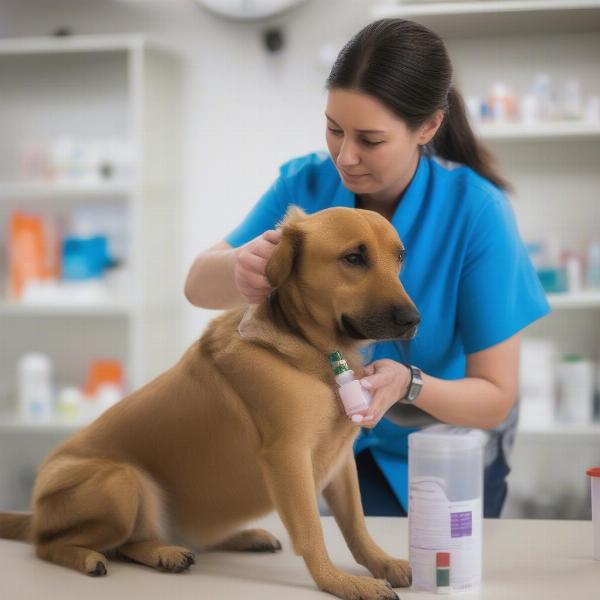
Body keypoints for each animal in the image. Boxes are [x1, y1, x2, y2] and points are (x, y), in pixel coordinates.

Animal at [0, 207, 420, 600]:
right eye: (353, 258)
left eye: (400, 256)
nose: (412, 318)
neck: (312, 351)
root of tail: (36, 512)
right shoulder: (287, 457)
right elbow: (311, 531)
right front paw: (339, 581)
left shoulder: (340, 460)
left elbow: (355, 524)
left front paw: (380, 562)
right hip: (122, 481)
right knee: (51, 545)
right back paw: (98, 556)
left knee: (133, 542)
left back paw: (197, 545)